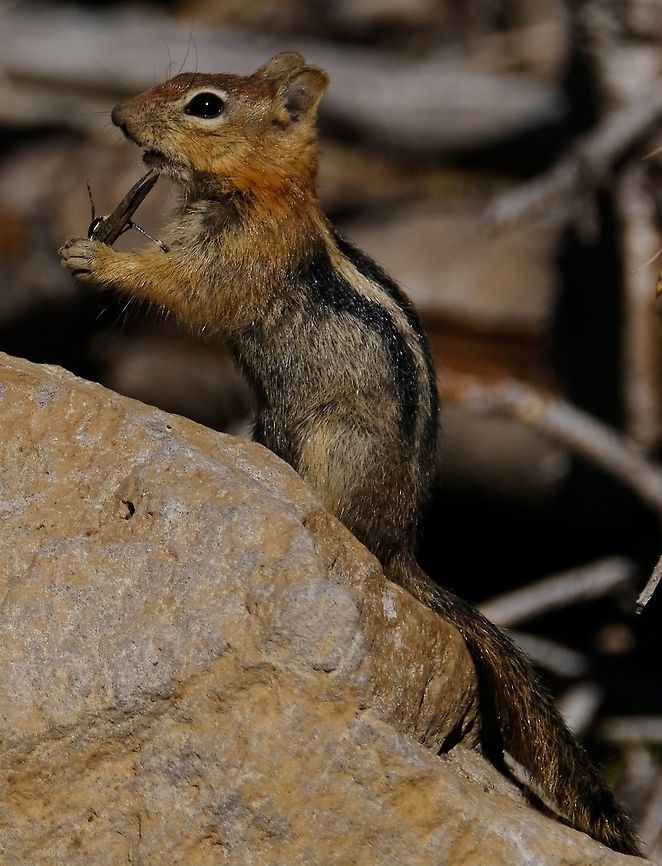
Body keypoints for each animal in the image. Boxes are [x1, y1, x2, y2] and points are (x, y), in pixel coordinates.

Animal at [59, 52, 639, 856]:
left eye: (204, 105)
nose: (117, 116)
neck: (261, 192)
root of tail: (400, 545)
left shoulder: (242, 258)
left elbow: (192, 291)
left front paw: (101, 257)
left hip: (333, 449)